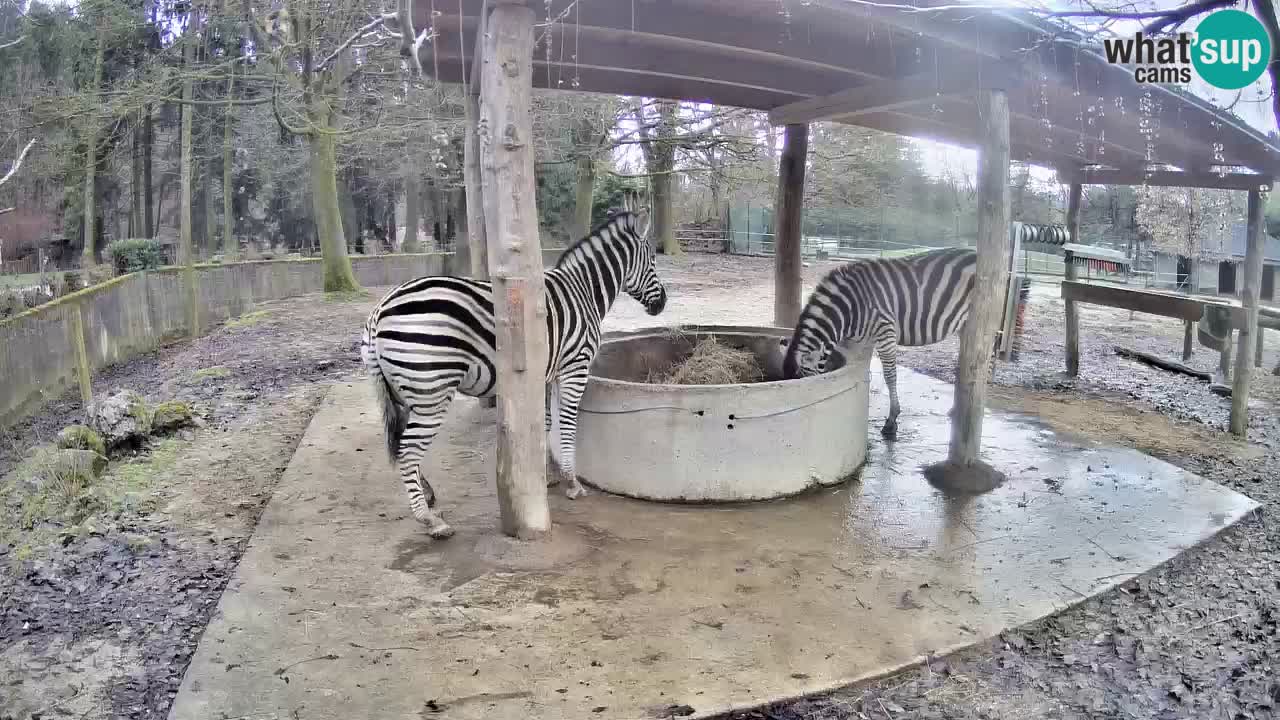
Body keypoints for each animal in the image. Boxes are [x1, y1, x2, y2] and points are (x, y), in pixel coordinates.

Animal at [355, 204, 665, 535]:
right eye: (653, 260)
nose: (662, 304)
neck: (583, 291)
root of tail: (378, 311)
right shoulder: (575, 366)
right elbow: (567, 424)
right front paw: (572, 482)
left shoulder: (545, 373)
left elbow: (544, 423)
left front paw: (547, 476)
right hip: (431, 391)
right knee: (409, 448)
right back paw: (429, 520)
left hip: (402, 391)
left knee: (402, 443)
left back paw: (427, 495)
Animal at [778, 245, 977, 438]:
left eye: (805, 386)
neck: (849, 308)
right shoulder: (857, 341)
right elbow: (855, 371)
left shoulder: (885, 330)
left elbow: (889, 376)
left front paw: (891, 420)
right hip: (965, 326)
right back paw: (956, 409)